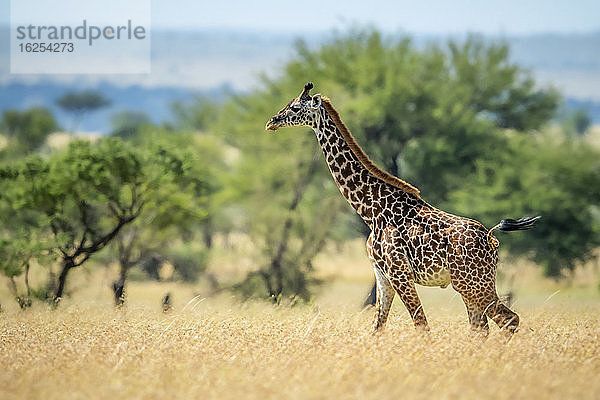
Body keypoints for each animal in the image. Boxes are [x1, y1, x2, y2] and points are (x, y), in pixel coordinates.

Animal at [264, 83, 540, 336]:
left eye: (295, 107)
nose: (271, 122)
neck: (371, 210)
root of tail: (491, 238)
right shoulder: (382, 274)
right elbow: (377, 328)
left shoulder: (399, 272)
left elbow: (421, 326)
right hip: (470, 284)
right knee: (481, 327)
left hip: (472, 282)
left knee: (508, 319)